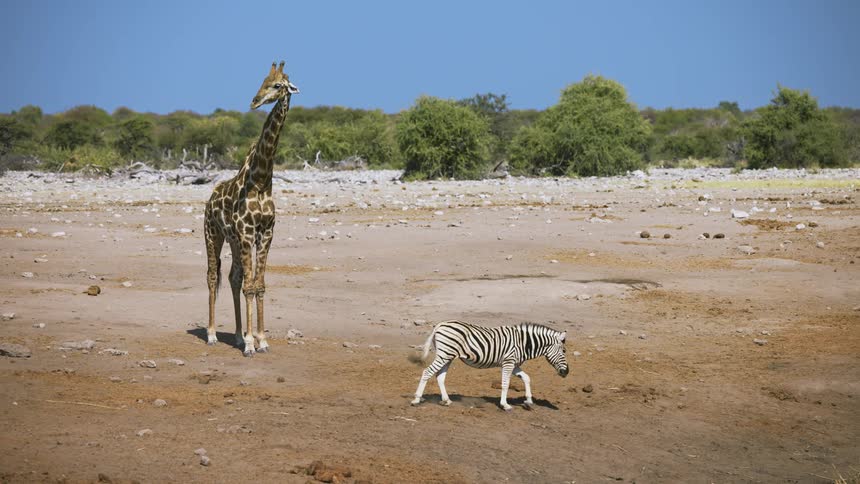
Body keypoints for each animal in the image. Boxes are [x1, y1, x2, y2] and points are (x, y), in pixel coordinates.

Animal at [204, 61, 299, 356]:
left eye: (277, 85)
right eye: (262, 81)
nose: (255, 101)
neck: (261, 180)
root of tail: (209, 198)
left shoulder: (265, 233)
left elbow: (258, 285)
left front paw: (260, 339)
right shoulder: (247, 233)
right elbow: (249, 286)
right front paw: (249, 344)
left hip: (234, 241)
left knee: (233, 277)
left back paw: (235, 335)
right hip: (213, 235)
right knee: (212, 276)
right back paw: (212, 334)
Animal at [411, 320, 569, 411]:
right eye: (564, 351)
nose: (566, 372)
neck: (524, 343)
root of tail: (440, 325)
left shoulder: (514, 364)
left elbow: (526, 378)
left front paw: (529, 401)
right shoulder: (508, 362)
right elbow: (505, 384)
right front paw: (505, 405)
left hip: (447, 356)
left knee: (440, 376)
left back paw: (446, 400)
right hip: (444, 354)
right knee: (427, 372)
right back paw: (417, 399)